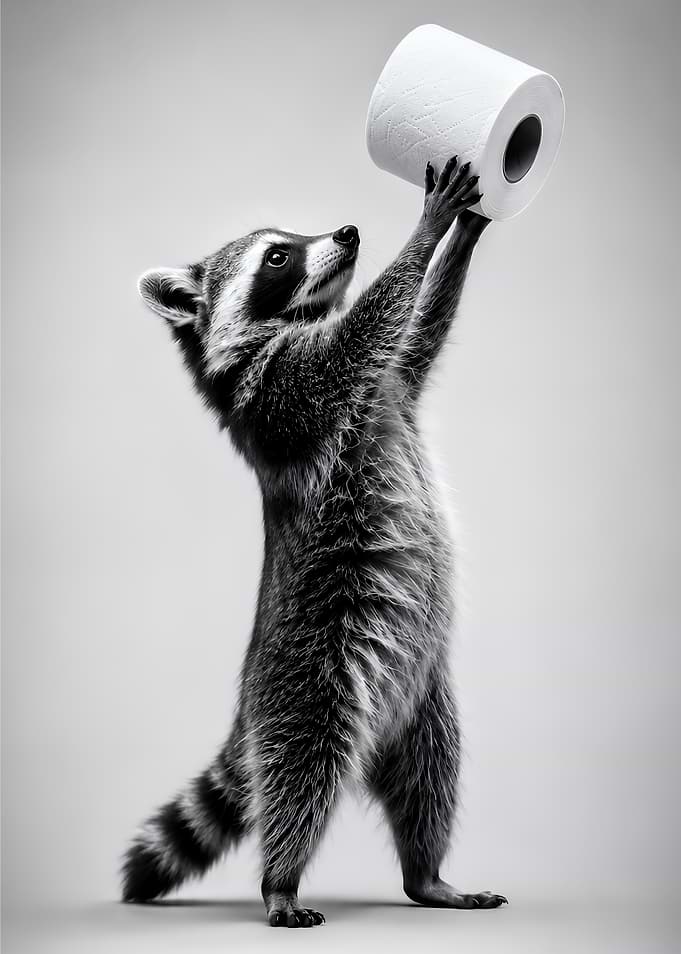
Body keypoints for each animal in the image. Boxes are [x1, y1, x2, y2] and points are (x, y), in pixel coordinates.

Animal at [123, 156, 507, 927]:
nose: (347, 233)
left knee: (432, 777)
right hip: (305, 681)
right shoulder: (287, 395)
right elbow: (367, 330)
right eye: (277, 256)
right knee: (299, 775)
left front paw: (465, 232)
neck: (289, 323)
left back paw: (427, 874)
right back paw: (281, 879)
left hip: (423, 706)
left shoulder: (390, 384)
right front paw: (426, 229)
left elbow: (418, 330)